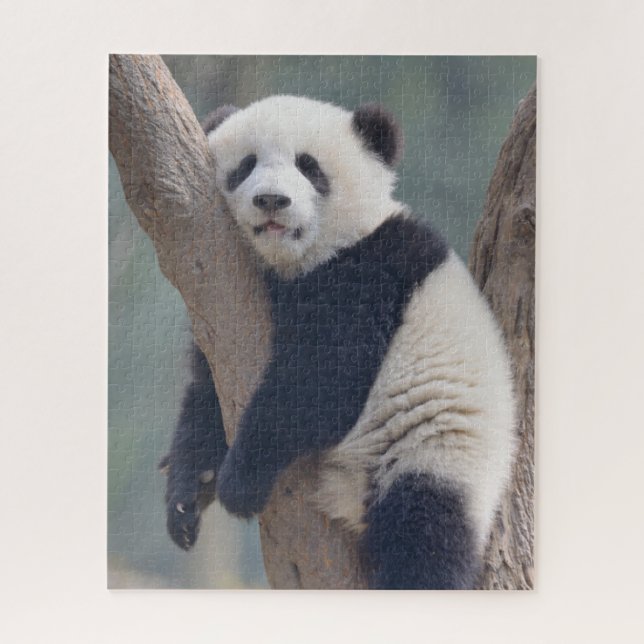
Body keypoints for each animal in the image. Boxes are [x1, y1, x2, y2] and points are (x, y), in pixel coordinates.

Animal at [160, 95, 516, 590]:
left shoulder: (372, 273)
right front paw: (188, 493)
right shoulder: (222, 303)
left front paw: (239, 481)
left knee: (424, 537)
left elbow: (320, 384)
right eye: (246, 165)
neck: (298, 263)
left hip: (437, 453)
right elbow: (208, 389)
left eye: (309, 167)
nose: (271, 200)